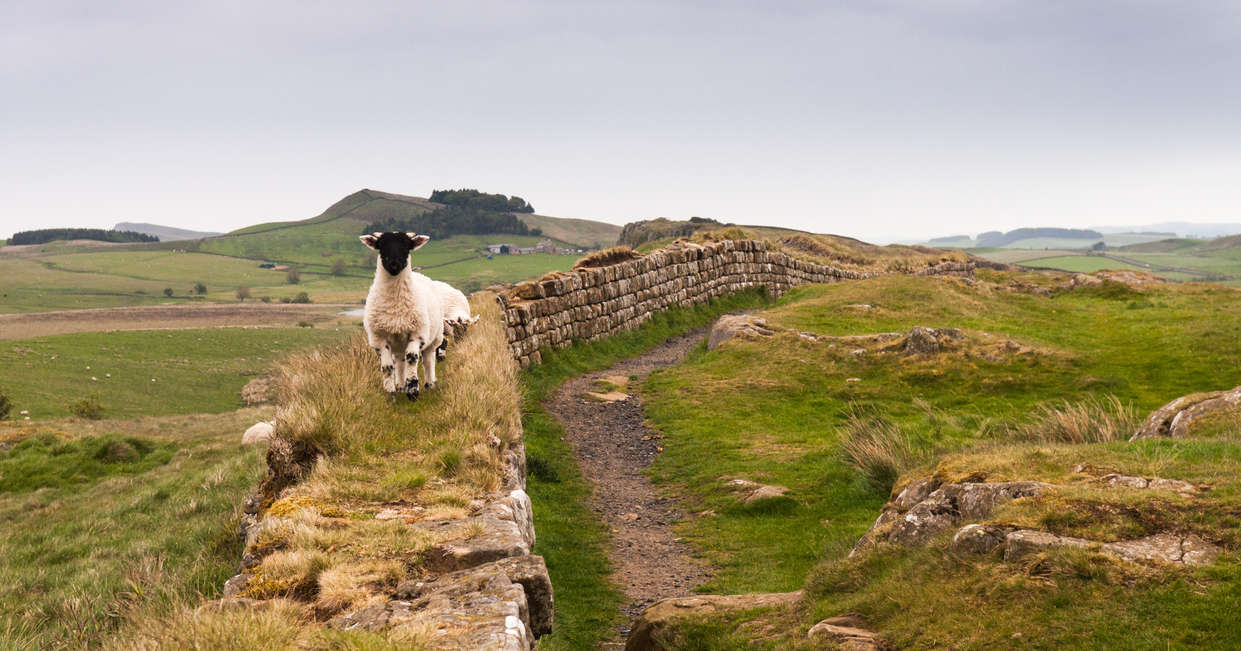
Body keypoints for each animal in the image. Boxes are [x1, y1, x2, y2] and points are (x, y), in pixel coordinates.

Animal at [357, 230, 444, 399]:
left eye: (406, 246)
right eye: (381, 246)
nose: (394, 264)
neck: (394, 306)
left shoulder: (418, 333)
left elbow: (412, 358)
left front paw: (413, 390)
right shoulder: (378, 337)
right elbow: (387, 367)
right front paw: (391, 393)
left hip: (434, 338)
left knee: (427, 360)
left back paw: (430, 384)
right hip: (398, 344)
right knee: (400, 362)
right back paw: (401, 385)